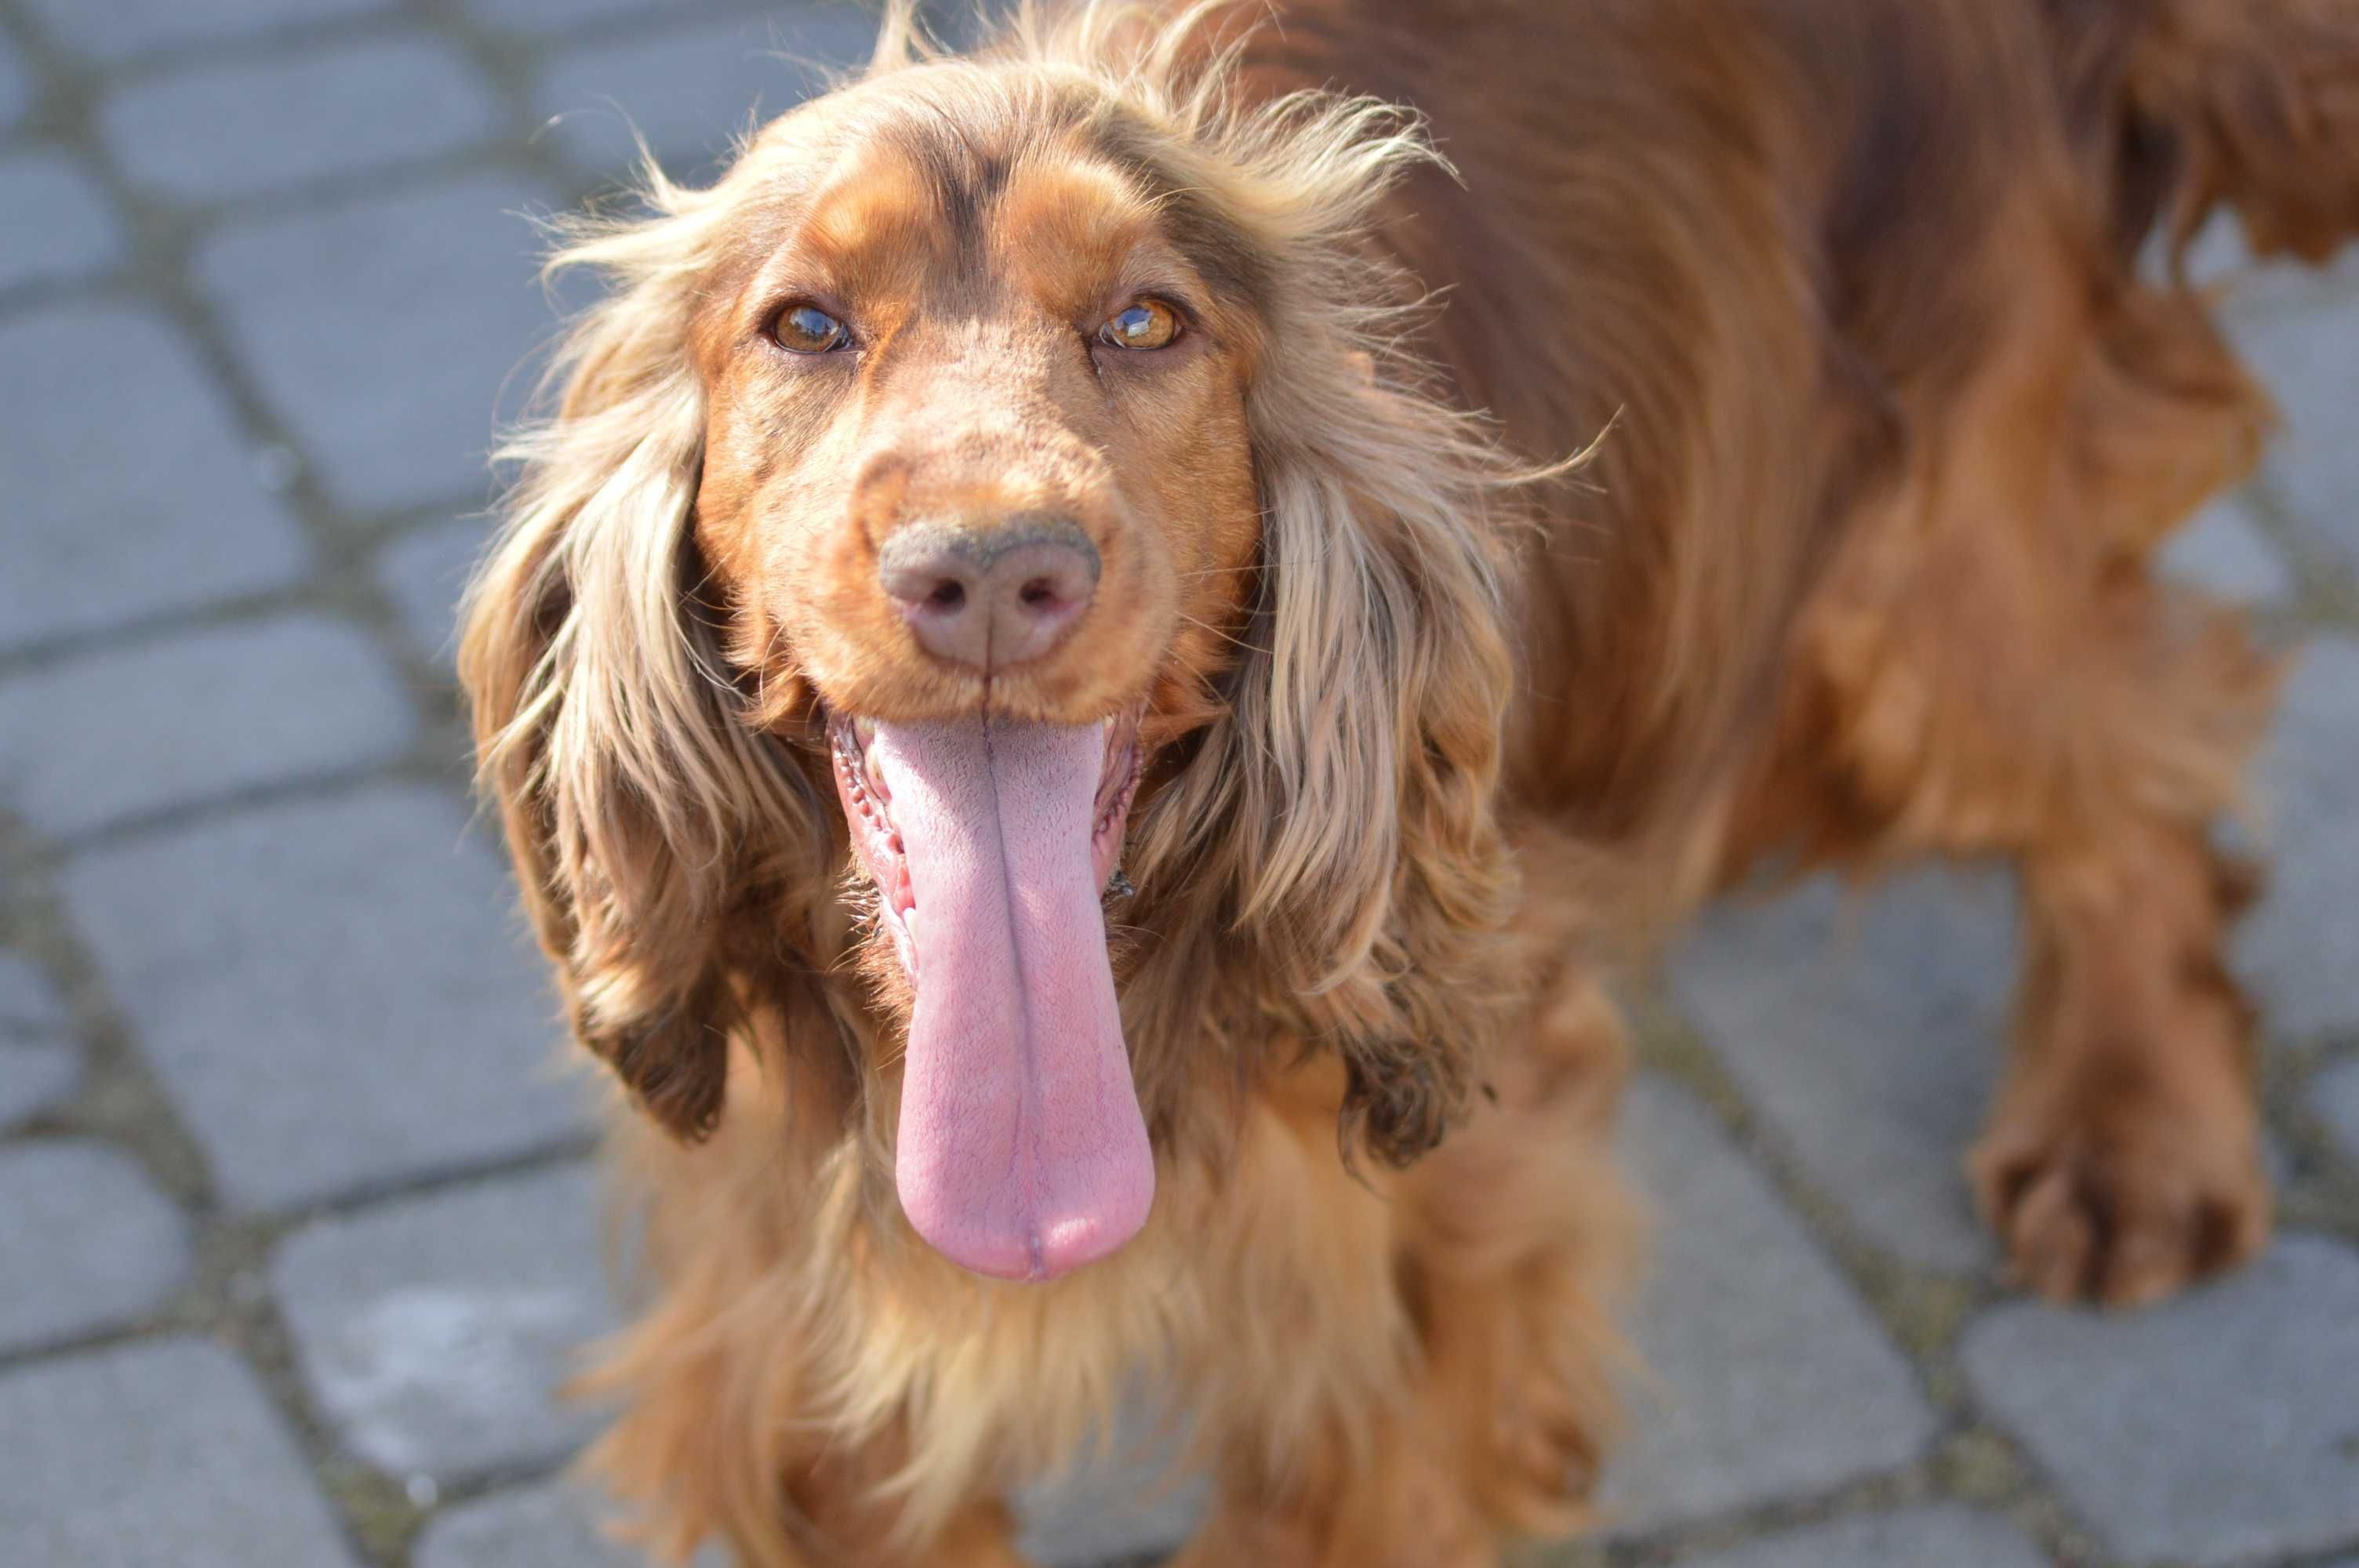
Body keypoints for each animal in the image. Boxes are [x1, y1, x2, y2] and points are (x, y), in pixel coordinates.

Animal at [455, 5, 2359, 1555]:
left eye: (1145, 320)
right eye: (802, 323)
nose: (991, 572)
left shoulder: (1424, 1278)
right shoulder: (781, 1304)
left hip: (1916, 603)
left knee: (2141, 741)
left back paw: (2131, 1134)